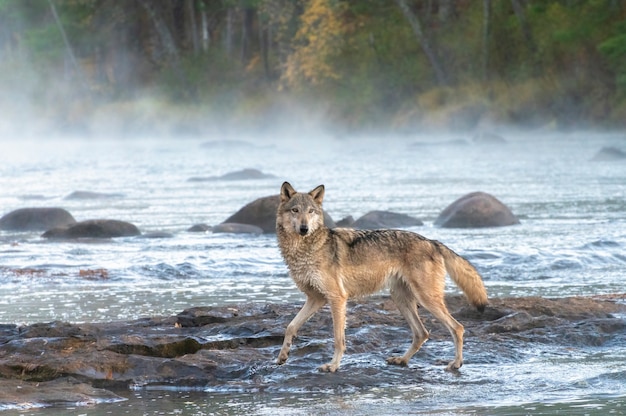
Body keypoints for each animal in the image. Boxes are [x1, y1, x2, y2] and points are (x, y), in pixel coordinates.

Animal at [276, 182, 486, 374]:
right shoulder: (316, 298)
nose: (304, 228)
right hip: (401, 299)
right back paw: (402, 360)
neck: (305, 248)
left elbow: (338, 339)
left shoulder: (337, 298)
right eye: (295, 210)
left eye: (311, 211)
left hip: (426, 299)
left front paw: (333, 365)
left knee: (457, 328)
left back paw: (456, 364)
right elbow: (290, 326)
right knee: (422, 333)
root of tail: (432, 242)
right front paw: (282, 356)